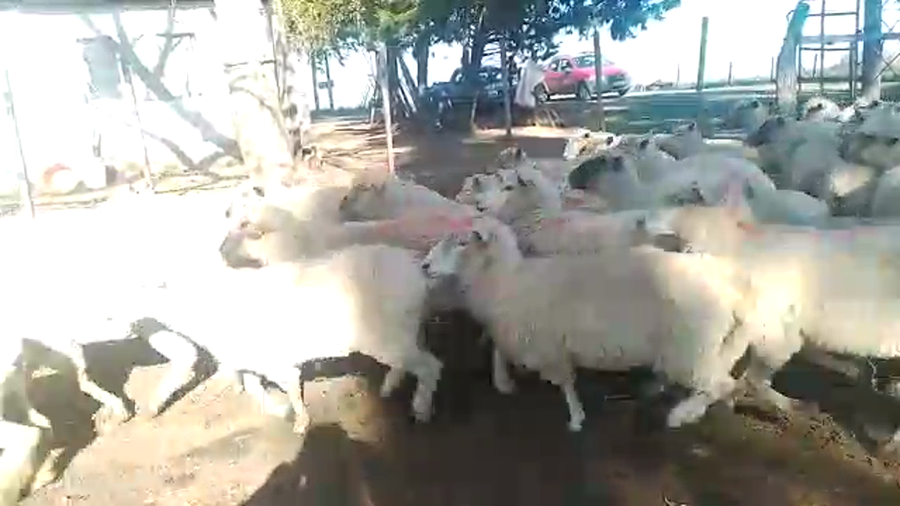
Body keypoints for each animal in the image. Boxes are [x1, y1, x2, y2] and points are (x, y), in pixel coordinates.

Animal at [157, 243, 443, 434]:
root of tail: (417, 272)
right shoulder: (251, 361)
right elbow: (254, 388)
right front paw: (281, 412)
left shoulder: (277, 363)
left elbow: (292, 391)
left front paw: (300, 423)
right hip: (406, 330)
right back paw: (388, 389)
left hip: (385, 336)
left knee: (431, 365)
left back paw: (420, 409)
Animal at [420, 217, 782, 431]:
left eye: (462, 242)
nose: (424, 265)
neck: (508, 280)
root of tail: (732, 283)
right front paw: (505, 382)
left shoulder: (548, 345)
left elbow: (565, 384)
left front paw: (576, 418)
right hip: (709, 347)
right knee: (722, 384)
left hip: (689, 348)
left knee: (720, 384)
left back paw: (681, 415)